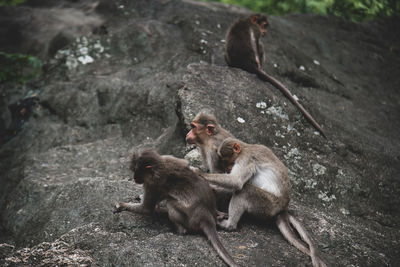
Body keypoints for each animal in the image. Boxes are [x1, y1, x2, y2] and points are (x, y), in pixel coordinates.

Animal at [202, 138, 326, 267]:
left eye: (228, 161)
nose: (227, 169)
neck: (245, 148)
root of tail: (283, 207)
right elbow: (234, 185)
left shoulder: (247, 159)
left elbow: (236, 182)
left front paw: (199, 173)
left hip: (267, 205)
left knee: (245, 191)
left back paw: (229, 224)